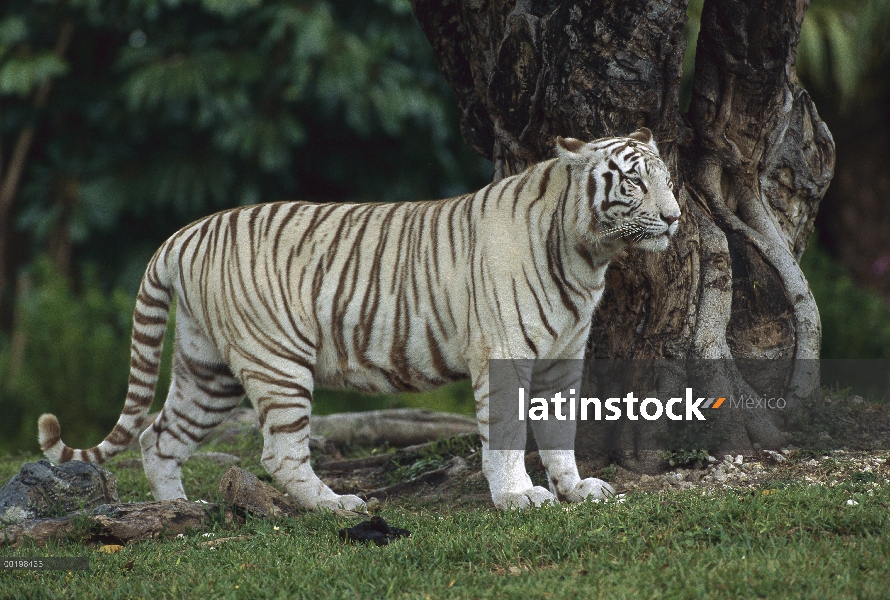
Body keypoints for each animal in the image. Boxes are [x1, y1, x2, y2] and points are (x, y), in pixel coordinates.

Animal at [38, 129, 676, 508]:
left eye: (667, 179)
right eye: (634, 180)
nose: (674, 216)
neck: (588, 255)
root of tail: (186, 233)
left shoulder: (564, 359)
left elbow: (560, 432)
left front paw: (578, 489)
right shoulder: (503, 355)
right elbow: (507, 435)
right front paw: (519, 497)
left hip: (207, 369)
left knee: (158, 436)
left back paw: (178, 511)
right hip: (277, 362)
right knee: (278, 453)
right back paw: (336, 506)